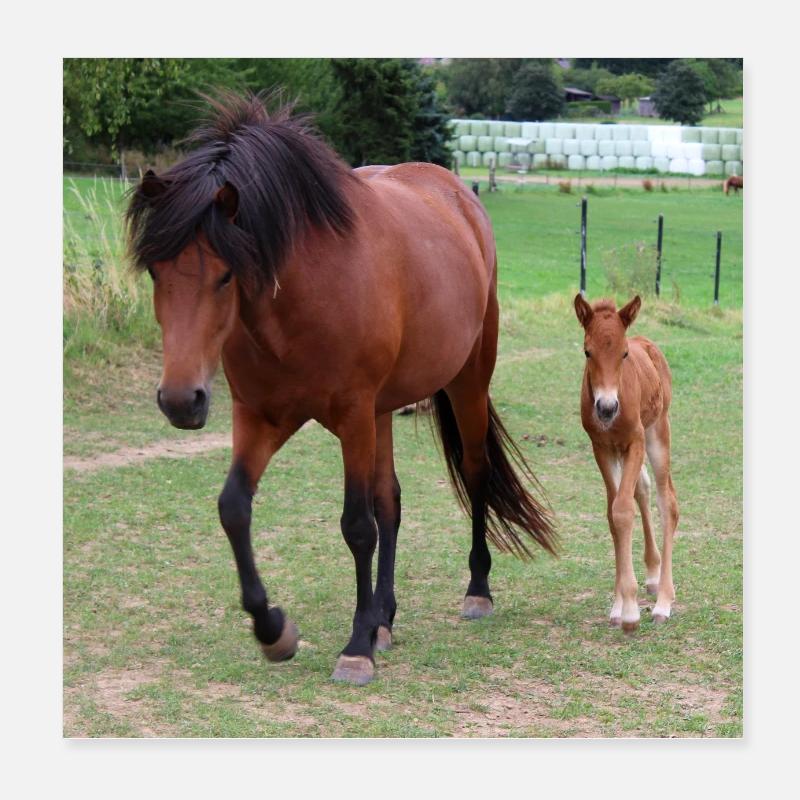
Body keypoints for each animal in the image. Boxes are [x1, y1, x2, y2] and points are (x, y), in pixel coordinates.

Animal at [126, 91, 556, 686]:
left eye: (226, 274)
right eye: (155, 272)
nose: (179, 400)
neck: (301, 297)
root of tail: (460, 197)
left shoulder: (352, 414)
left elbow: (357, 526)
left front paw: (355, 647)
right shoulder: (261, 416)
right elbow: (235, 507)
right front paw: (275, 631)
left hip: (466, 381)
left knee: (474, 475)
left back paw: (476, 590)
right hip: (383, 411)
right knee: (390, 500)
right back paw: (385, 618)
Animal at [573, 294, 679, 632]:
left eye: (624, 353)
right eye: (587, 351)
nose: (606, 407)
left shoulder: (635, 442)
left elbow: (622, 510)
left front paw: (631, 612)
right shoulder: (602, 448)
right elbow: (613, 514)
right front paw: (619, 606)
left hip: (658, 432)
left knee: (667, 502)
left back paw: (663, 602)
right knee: (641, 490)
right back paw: (653, 575)